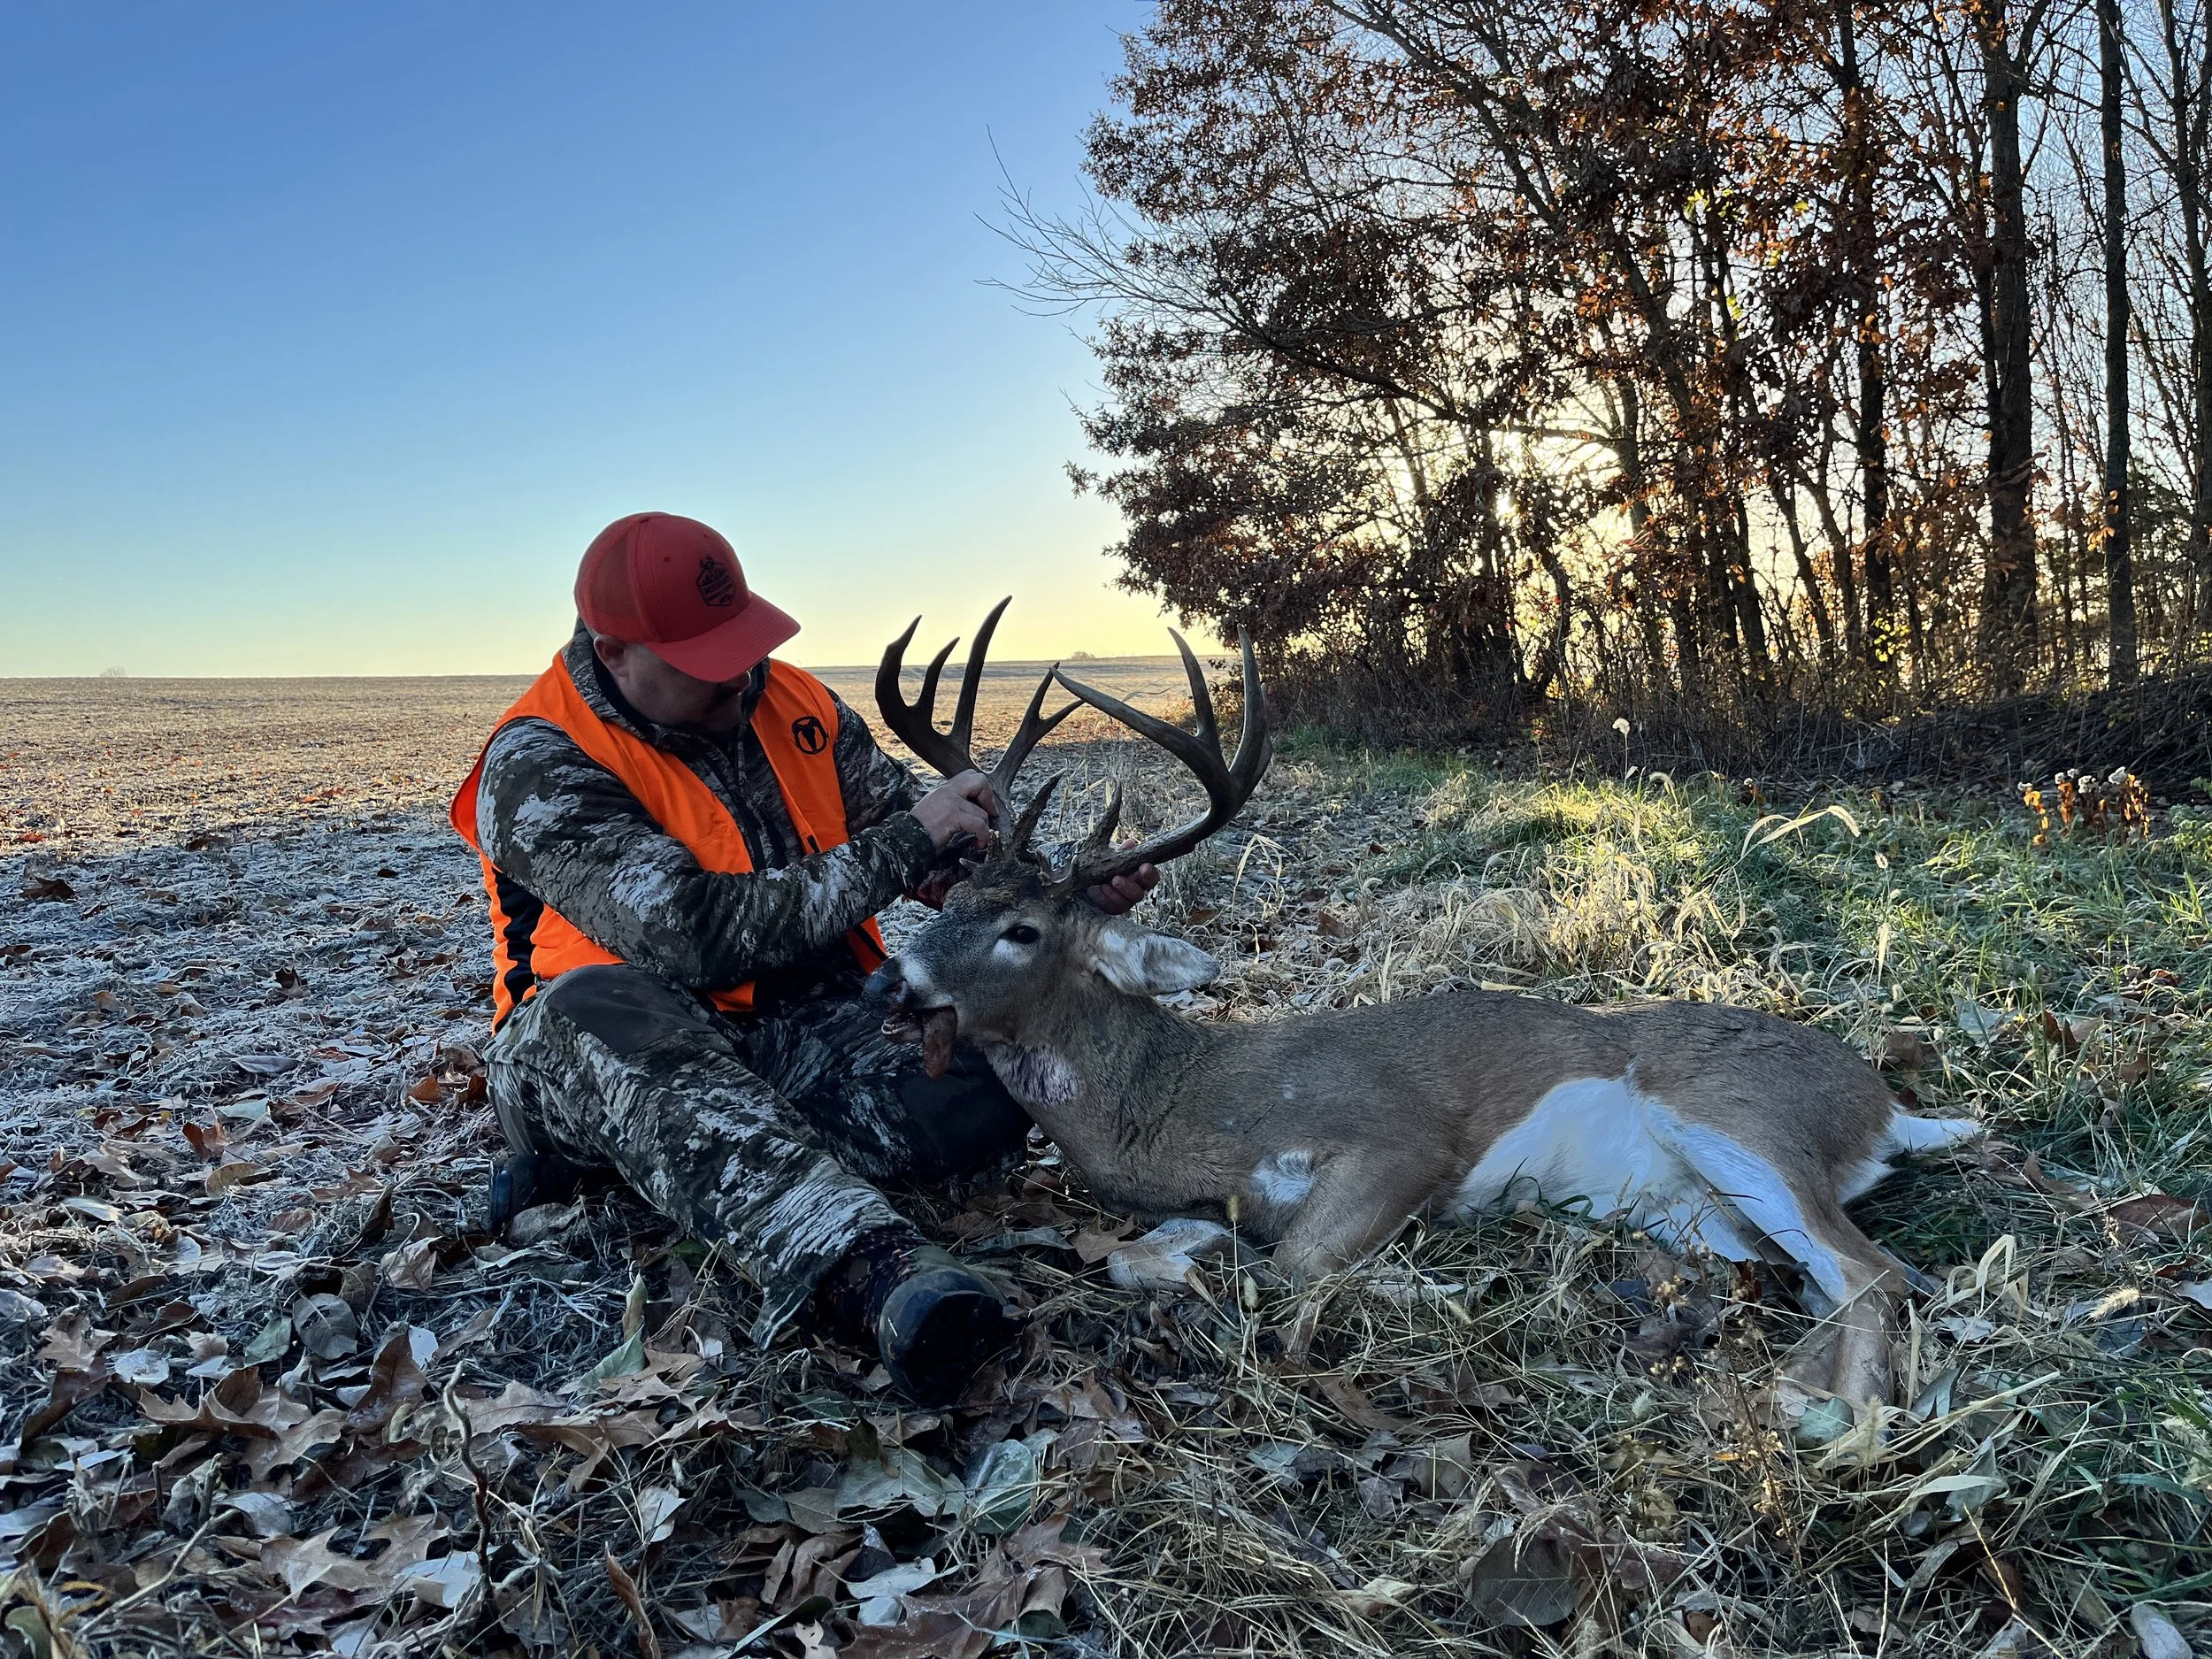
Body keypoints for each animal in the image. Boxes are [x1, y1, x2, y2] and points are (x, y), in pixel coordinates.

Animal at [867, 606, 1979, 1411]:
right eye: (948, 901)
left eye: (1022, 931)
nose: (893, 981)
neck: (1188, 1104)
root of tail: (1886, 1106)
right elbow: (1148, 1262)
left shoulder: (1398, 1136)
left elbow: (1301, 1260)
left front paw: (1428, 1287)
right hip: (1695, 1209)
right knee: (1828, 1276)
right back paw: (1794, 1388)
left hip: (1732, 1113)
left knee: (1876, 1275)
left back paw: (1840, 1428)